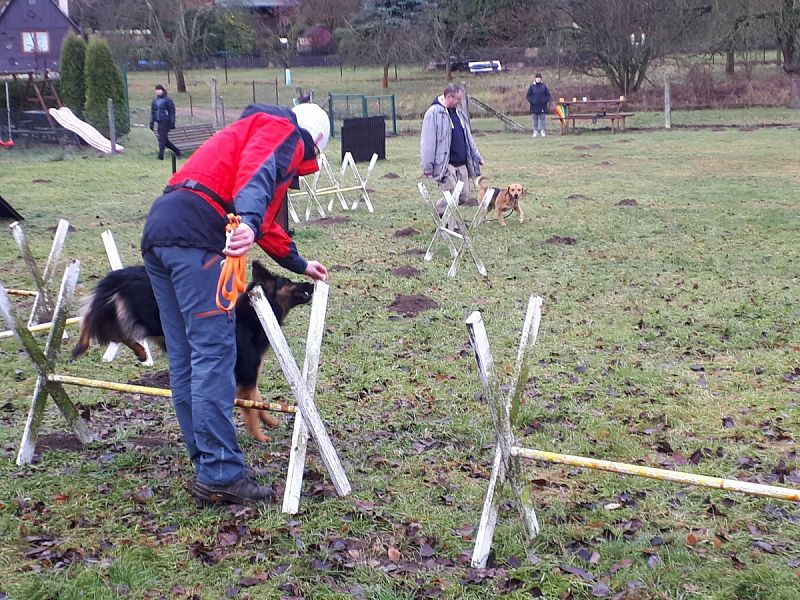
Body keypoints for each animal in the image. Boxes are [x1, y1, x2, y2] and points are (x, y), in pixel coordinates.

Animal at [72, 260, 314, 442]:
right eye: (288, 281)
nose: (311, 283)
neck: (252, 314)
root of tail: (122, 274)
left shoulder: (248, 374)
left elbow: (258, 399)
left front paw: (269, 421)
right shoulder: (247, 372)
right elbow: (250, 408)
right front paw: (259, 435)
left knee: (111, 329)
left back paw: (137, 352)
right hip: (151, 317)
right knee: (99, 321)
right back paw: (91, 346)